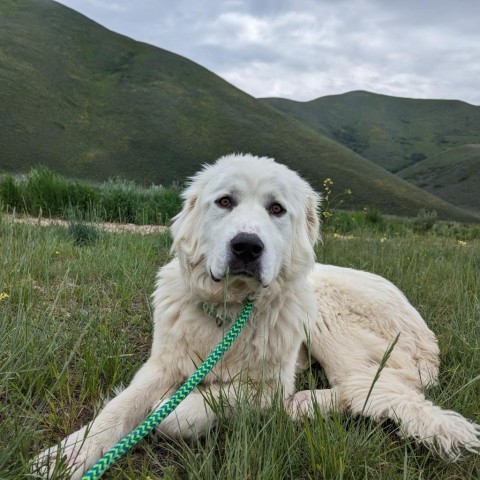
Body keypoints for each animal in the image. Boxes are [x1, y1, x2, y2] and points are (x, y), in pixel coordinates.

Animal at [36, 156, 480, 478]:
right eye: (225, 202)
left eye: (277, 209)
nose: (247, 246)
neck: (230, 311)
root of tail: (427, 337)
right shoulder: (162, 365)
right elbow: (119, 408)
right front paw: (70, 454)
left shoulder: (267, 387)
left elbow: (191, 409)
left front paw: (171, 409)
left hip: (324, 308)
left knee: (368, 388)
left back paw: (302, 405)